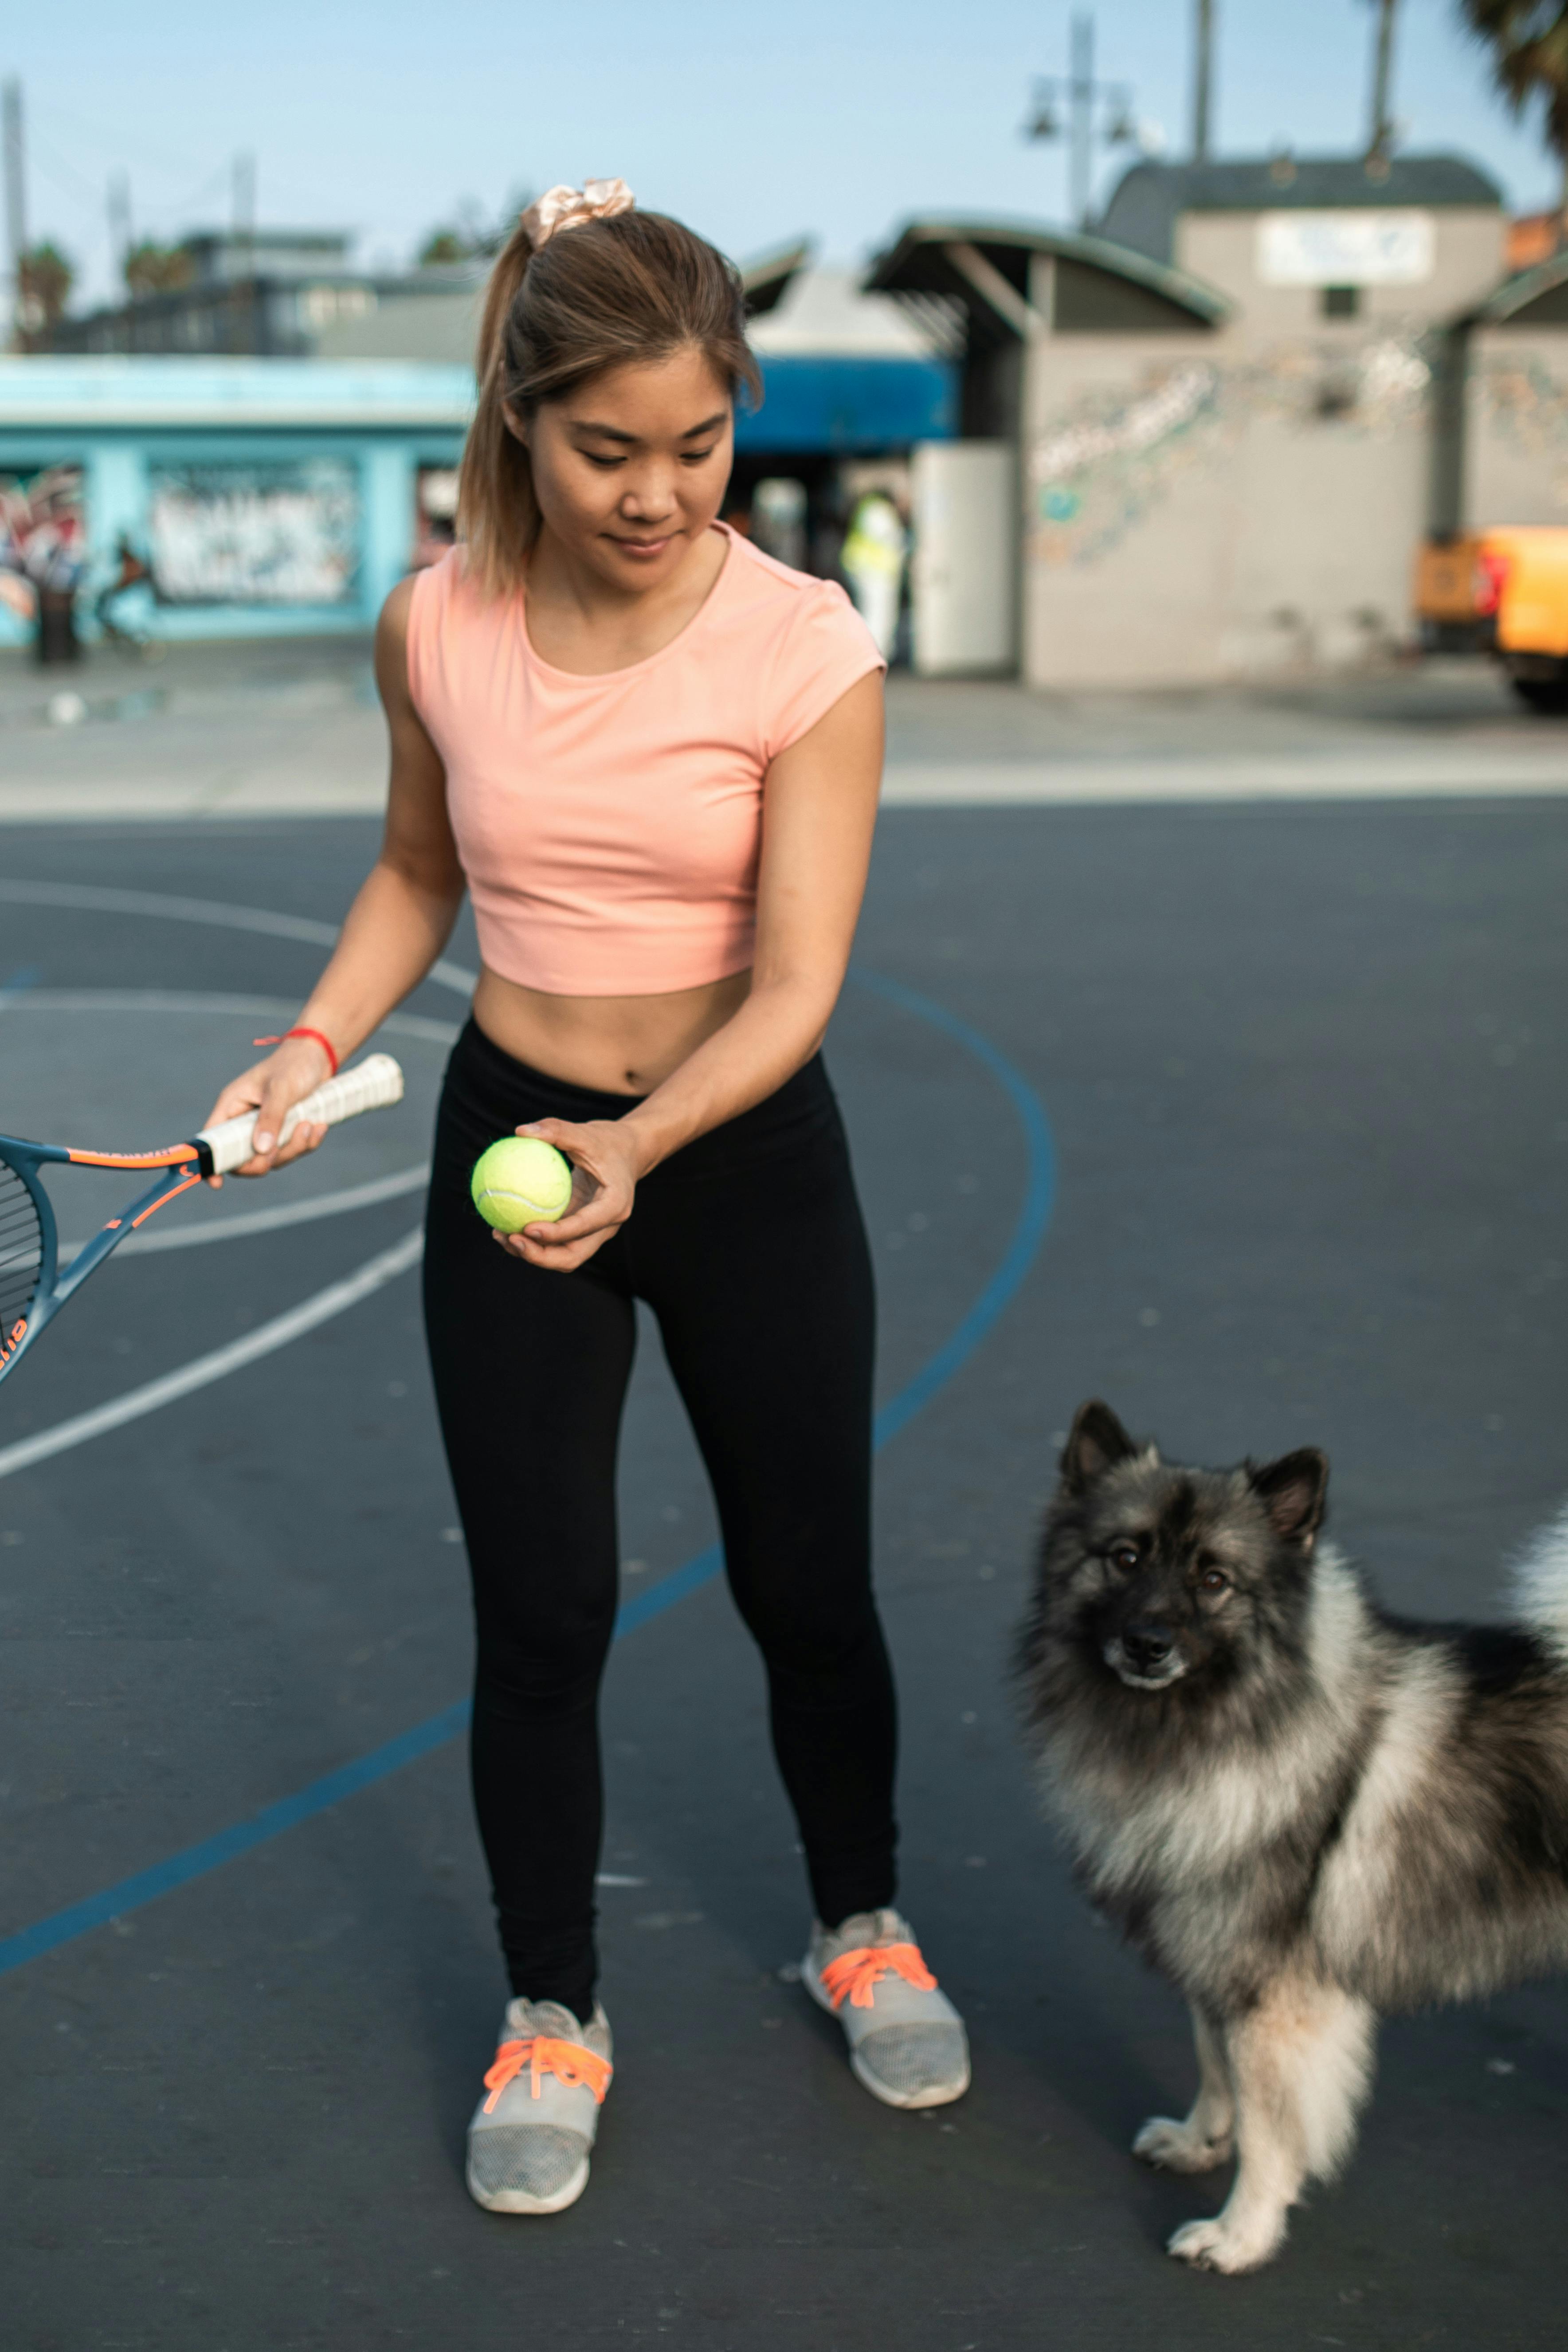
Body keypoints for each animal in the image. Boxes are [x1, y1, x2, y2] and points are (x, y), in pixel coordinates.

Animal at [1020, 1402, 1568, 2267]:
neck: (1200, 1729)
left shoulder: (1277, 1995)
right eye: (1125, 1556)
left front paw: (1238, 2235)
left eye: (1214, 1579)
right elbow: (1214, 2065)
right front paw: (1199, 2140)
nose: (1147, 1642)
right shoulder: (1214, 1954)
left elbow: (1270, 2130)